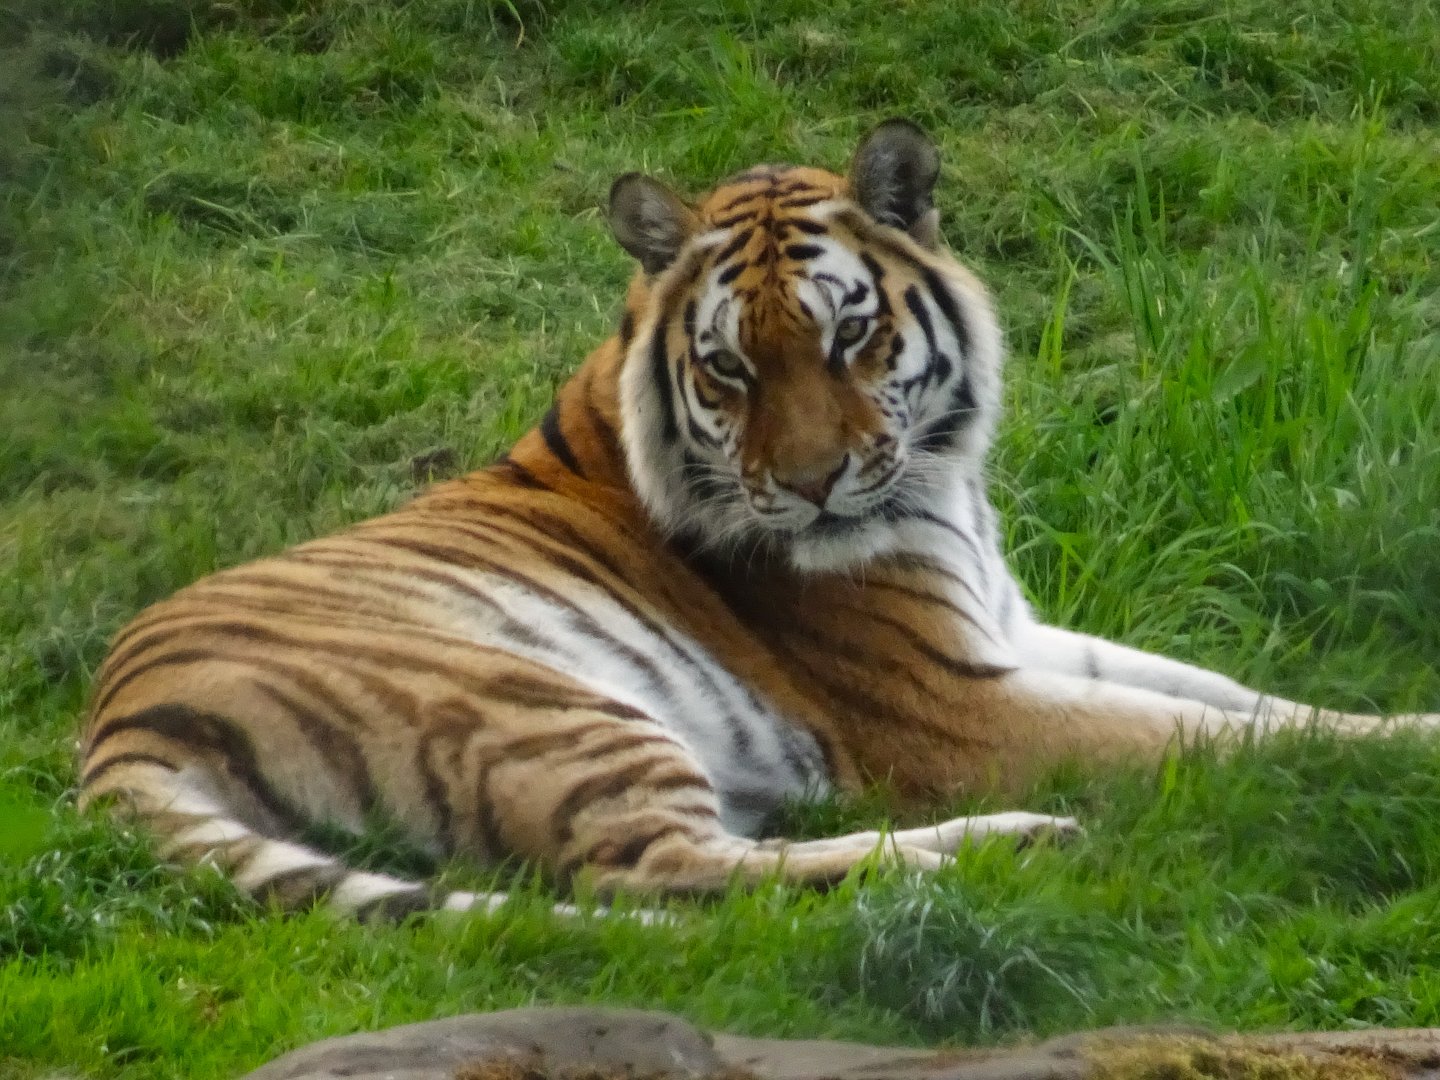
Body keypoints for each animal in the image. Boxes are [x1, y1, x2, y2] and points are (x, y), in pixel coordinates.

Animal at [78, 120, 1439, 920]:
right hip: (549, 703)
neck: (945, 485)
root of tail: (112, 725)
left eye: (851, 336)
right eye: (730, 369)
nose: (816, 485)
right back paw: (1003, 847)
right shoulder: (956, 702)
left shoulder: (1008, 633)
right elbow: (1209, 736)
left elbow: (1241, 698)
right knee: (658, 874)